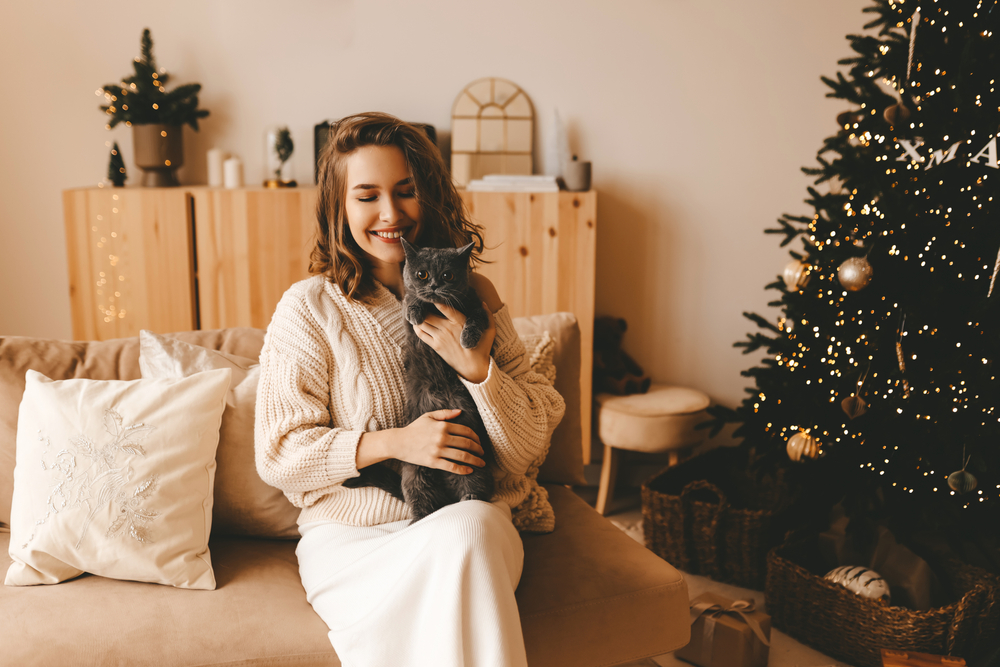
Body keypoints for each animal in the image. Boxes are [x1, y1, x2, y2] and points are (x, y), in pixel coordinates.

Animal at [344, 239, 496, 520]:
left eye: (448, 275)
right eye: (421, 274)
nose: (434, 285)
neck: (438, 307)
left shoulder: (477, 306)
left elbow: (475, 318)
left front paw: (467, 339)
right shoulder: (409, 309)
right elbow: (411, 300)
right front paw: (417, 311)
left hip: (474, 465)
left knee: (472, 489)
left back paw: (469, 497)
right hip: (415, 472)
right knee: (421, 502)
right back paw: (420, 519)